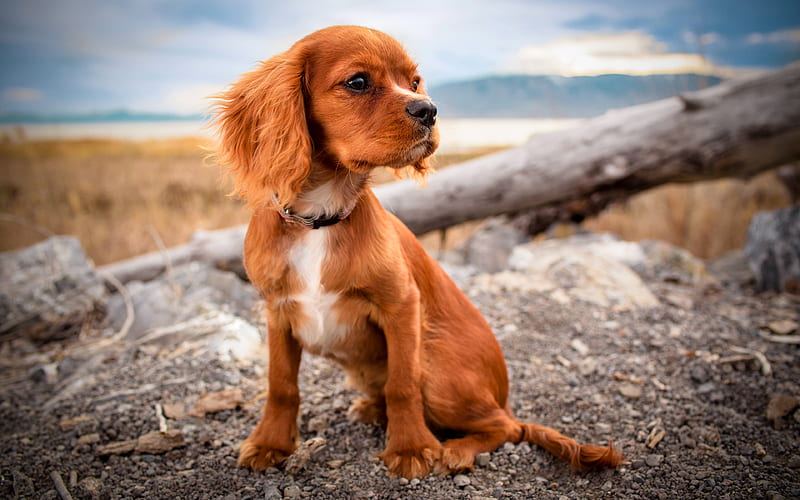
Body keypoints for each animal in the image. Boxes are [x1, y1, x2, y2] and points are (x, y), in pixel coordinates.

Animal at [211, 25, 620, 478]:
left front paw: (410, 448)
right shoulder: (277, 310)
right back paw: (373, 410)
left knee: (507, 427)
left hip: (438, 368)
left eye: (414, 81)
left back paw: (456, 450)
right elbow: (281, 384)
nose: (430, 110)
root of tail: (504, 396)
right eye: (358, 82)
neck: (321, 217)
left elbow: (402, 383)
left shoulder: (402, 305)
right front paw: (271, 444)